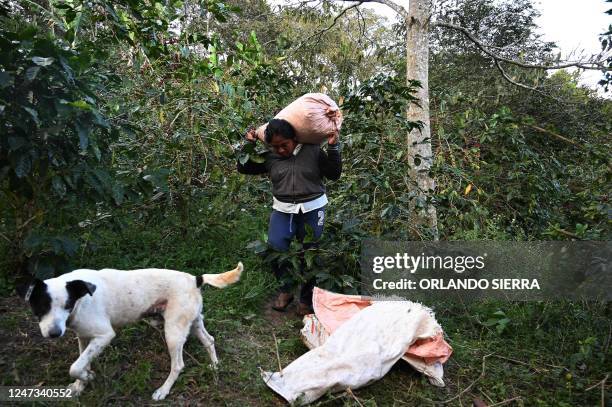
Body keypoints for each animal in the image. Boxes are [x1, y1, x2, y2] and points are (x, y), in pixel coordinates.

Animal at [17, 262, 241, 400]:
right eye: (42, 306)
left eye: (67, 304)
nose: (54, 333)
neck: (82, 298)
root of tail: (195, 279)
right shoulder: (83, 336)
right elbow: (81, 362)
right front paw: (80, 385)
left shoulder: (104, 335)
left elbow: (74, 366)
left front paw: (89, 378)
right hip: (193, 322)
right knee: (209, 340)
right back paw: (215, 366)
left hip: (173, 332)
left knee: (178, 365)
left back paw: (163, 390)